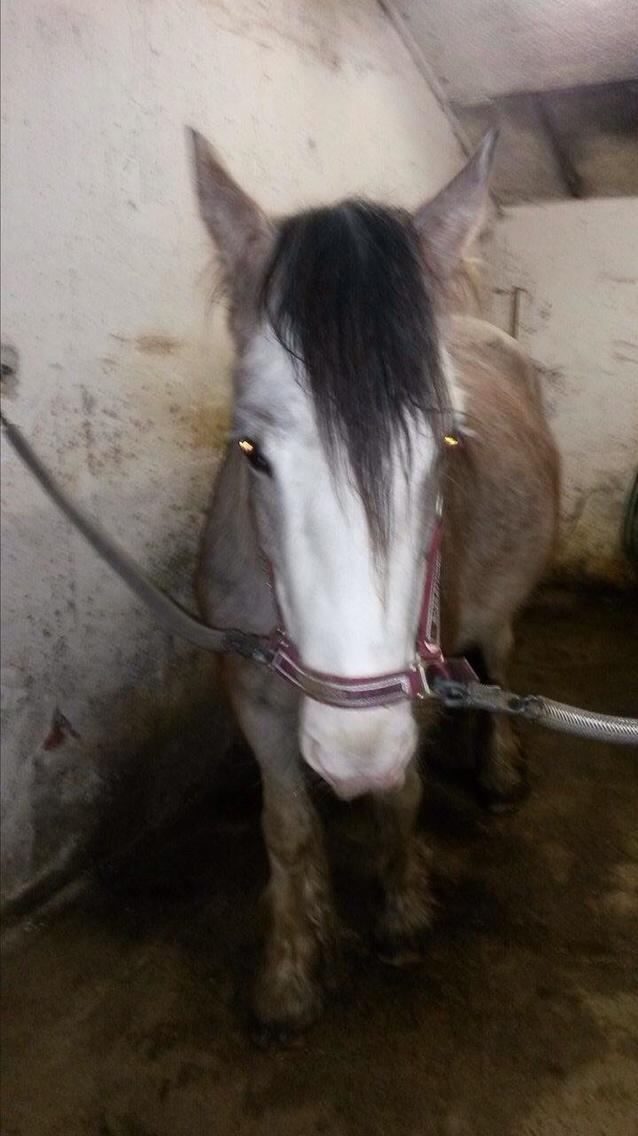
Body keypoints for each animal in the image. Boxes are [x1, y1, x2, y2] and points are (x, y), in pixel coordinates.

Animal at [188, 128, 556, 1036]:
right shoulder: (251, 690)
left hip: (495, 617)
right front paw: (290, 972)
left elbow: (402, 797)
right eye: (250, 450)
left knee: (500, 664)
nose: (354, 755)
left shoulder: (410, 689)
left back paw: (497, 768)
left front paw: (401, 914)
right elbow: (287, 826)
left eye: (449, 444)